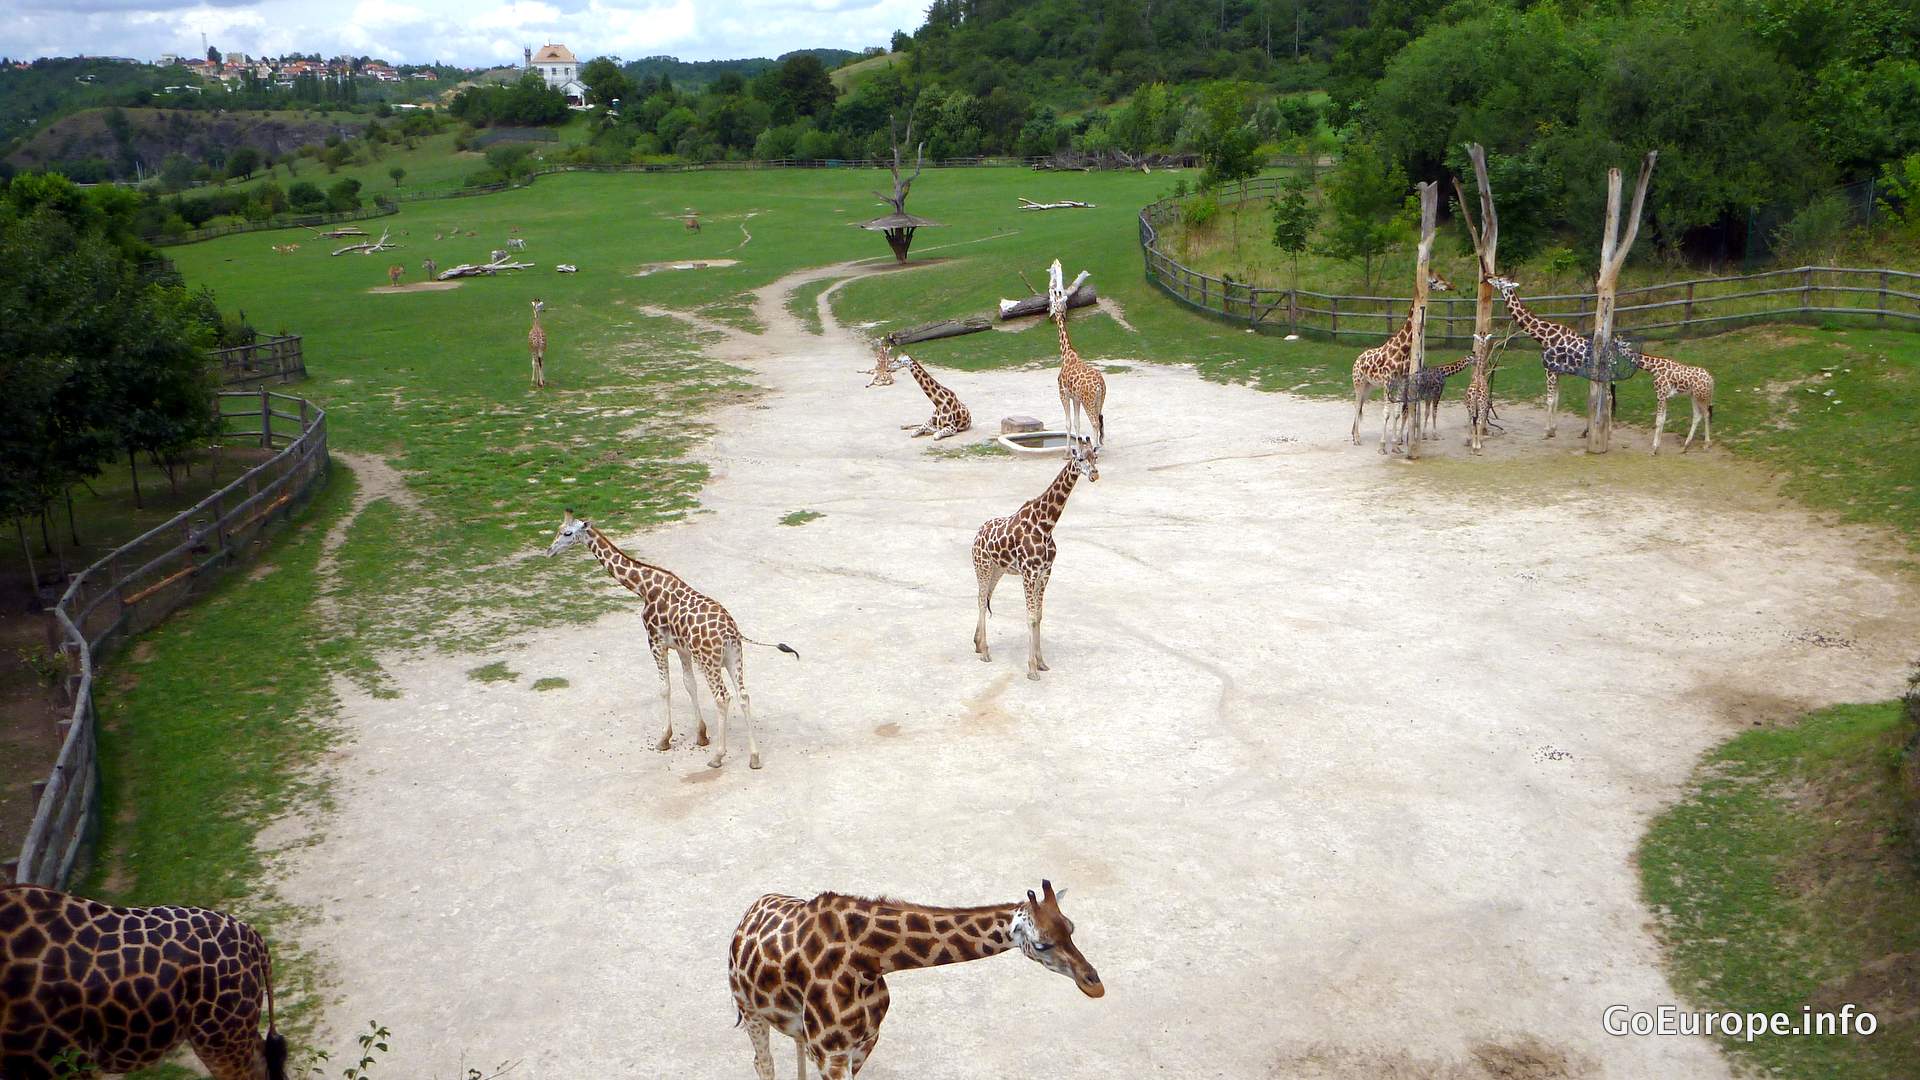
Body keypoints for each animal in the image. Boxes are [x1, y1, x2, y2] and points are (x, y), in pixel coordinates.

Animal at [545, 510, 796, 769]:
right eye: (558, 529)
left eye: (567, 533)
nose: (549, 551)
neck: (643, 587)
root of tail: (731, 632)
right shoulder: (682, 648)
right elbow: (689, 684)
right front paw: (701, 735)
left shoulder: (655, 641)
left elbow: (664, 688)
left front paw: (664, 739)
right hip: (732, 657)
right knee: (743, 695)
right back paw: (754, 757)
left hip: (710, 662)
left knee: (722, 698)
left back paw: (718, 757)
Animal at [728, 879, 1102, 1079]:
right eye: (1042, 944)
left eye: (1071, 928)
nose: (1094, 984)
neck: (868, 961)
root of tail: (750, 911)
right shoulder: (830, 1053)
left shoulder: (864, 1042)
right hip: (750, 1010)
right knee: (764, 1062)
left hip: (794, 1026)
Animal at [972, 440, 1098, 680]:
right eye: (1080, 458)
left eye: (1095, 457)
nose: (1095, 474)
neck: (1045, 526)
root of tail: (977, 533)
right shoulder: (1029, 573)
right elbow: (1030, 616)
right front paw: (1031, 669)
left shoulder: (1045, 572)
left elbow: (1038, 616)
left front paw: (1041, 662)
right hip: (982, 566)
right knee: (982, 600)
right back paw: (984, 652)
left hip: (997, 570)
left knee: (986, 597)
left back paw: (977, 643)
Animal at [1048, 261, 1105, 449]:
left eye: (1054, 302)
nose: (1052, 312)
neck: (1066, 353)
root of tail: (1100, 385)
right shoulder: (1076, 398)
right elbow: (1077, 423)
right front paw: (1078, 448)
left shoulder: (1063, 393)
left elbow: (1068, 423)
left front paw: (1067, 451)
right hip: (1100, 400)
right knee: (1100, 420)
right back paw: (1097, 445)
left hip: (1089, 400)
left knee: (1095, 422)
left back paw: (1095, 447)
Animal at [1348, 271, 1454, 450]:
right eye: (1435, 280)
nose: (1450, 286)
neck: (1403, 348)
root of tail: (1357, 359)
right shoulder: (1387, 381)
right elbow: (1386, 413)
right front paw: (1382, 446)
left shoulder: (1401, 381)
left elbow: (1397, 413)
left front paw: (1395, 445)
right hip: (1359, 382)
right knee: (1356, 406)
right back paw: (1356, 438)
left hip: (1369, 385)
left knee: (1360, 405)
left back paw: (1354, 435)